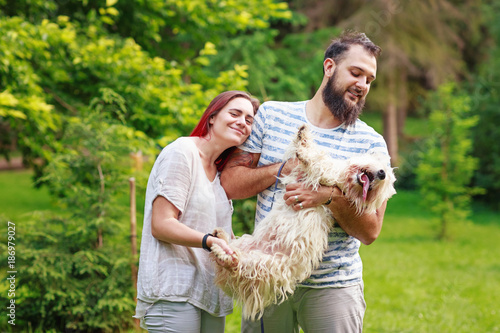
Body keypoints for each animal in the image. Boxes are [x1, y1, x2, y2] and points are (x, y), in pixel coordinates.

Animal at [210, 124, 394, 320]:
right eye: (382, 167)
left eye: (381, 187)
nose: (382, 174)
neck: (346, 181)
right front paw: (302, 135)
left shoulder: (326, 176)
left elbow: (319, 159)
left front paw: (304, 149)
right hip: (246, 244)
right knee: (229, 254)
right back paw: (220, 239)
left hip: (265, 264)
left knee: (236, 265)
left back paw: (224, 254)